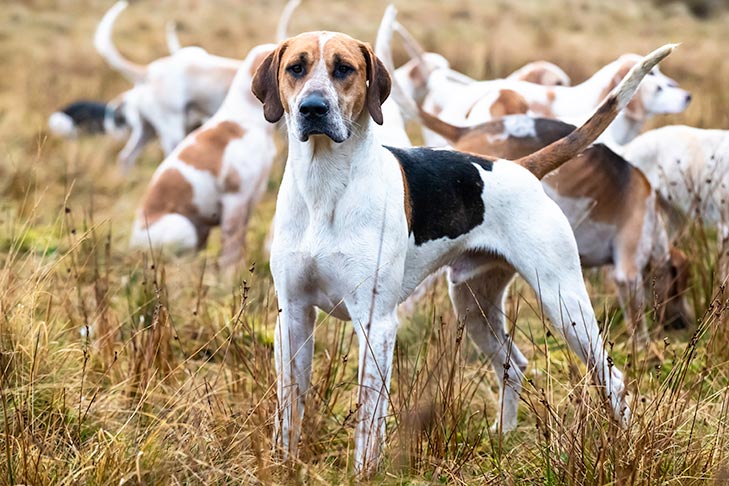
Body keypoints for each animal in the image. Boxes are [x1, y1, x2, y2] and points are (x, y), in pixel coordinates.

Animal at [129, 42, 278, 266]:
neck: (247, 120)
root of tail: (133, 240)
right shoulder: (235, 200)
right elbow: (230, 248)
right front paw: (230, 274)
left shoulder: (251, 198)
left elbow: (240, 241)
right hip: (184, 228)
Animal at [252, 27, 672, 474]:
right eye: (296, 68)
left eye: (343, 69)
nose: (312, 108)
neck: (325, 188)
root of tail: (522, 167)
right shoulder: (293, 315)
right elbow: (288, 407)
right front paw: (282, 465)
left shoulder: (375, 323)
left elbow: (369, 416)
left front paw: (363, 473)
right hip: (473, 303)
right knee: (514, 365)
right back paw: (503, 435)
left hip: (565, 304)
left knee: (612, 378)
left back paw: (625, 445)